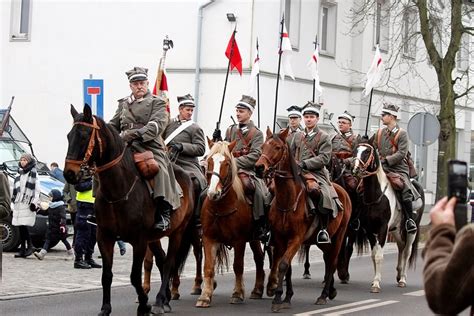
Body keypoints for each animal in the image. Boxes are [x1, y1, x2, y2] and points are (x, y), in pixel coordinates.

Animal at [64, 105, 194, 314]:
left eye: (84, 136)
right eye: (69, 136)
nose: (69, 174)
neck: (119, 189)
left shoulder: (139, 240)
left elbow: (134, 276)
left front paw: (144, 304)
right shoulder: (105, 237)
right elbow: (107, 275)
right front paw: (105, 308)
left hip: (177, 232)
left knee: (169, 263)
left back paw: (159, 301)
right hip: (154, 238)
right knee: (162, 260)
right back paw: (165, 299)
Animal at [194, 139, 264, 308]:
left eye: (226, 163)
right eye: (209, 161)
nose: (213, 193)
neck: (221, 206)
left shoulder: (239, 240)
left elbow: (238, 266)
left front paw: (237, 293)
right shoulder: (208, 238)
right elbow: (208, 267)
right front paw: (205, 296)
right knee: (259, 258)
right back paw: (257, 290)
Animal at [256, 128, 352, 312]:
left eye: (277, 147)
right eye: (263, 146)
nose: (258, 168)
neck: (287, 200)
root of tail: (342, 191)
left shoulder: (296, 239)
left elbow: (283, 264)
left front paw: (278, 299)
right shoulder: (280, 239)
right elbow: (287, 268)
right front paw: (286, 297)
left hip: (338, 237)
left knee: (332, 262)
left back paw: (323, 295)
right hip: (324, 242)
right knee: (328, 260)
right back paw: (331, 290)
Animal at [352, 142, 426, 292]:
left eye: (367, 152)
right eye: (356, 150)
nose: (355, 170)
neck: (376, 195)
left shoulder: (383, 229)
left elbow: (379, 256)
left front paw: (376, 284)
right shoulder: (370, 230)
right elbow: (374, 255)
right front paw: (375, 280)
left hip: (412, 230)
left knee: (407, 251)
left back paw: (402, 279)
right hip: (396, 229)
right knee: (401, 246)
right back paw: (398, 274)